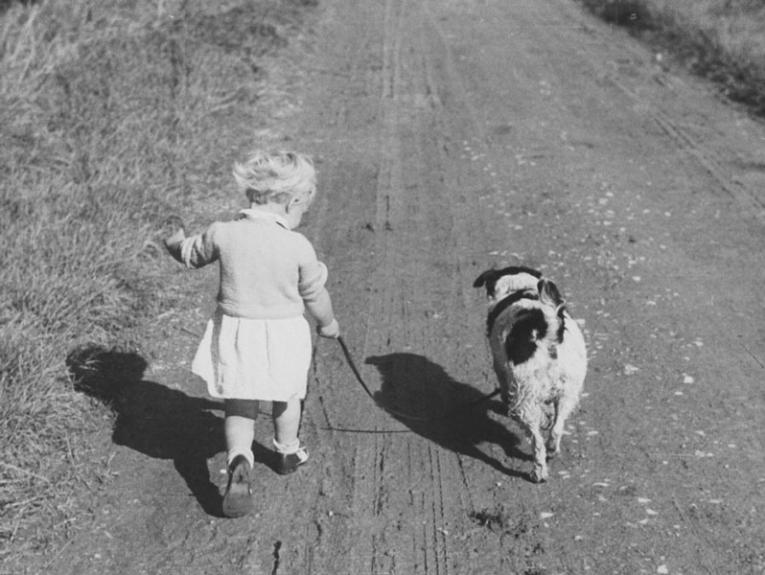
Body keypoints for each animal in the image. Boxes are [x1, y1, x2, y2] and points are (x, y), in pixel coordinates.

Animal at [474, 266, 588, 482]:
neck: (518, 287)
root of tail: (547, 332)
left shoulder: (500, 367)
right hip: (568, 390)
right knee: (556, 427)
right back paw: (552, 448)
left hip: (524, 400)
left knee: (537, 442)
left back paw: (539, 472)